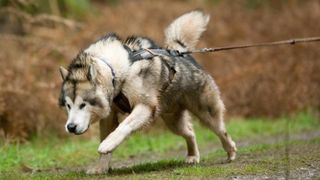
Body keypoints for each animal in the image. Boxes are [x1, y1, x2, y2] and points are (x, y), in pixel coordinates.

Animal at [58, 10, 236, 174]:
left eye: (83, 105)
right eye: (68, 106)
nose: (70, 127)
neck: (115, 71)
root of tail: (180, 52)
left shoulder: (145, 107)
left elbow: (123, 126)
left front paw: (107, 144)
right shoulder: (109, 116)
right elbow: (108, 137)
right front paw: (100, 168)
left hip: (206, 112)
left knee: (221, 131)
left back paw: (231, 151)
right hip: (173, 121)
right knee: (190, 132)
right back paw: (192, 156)